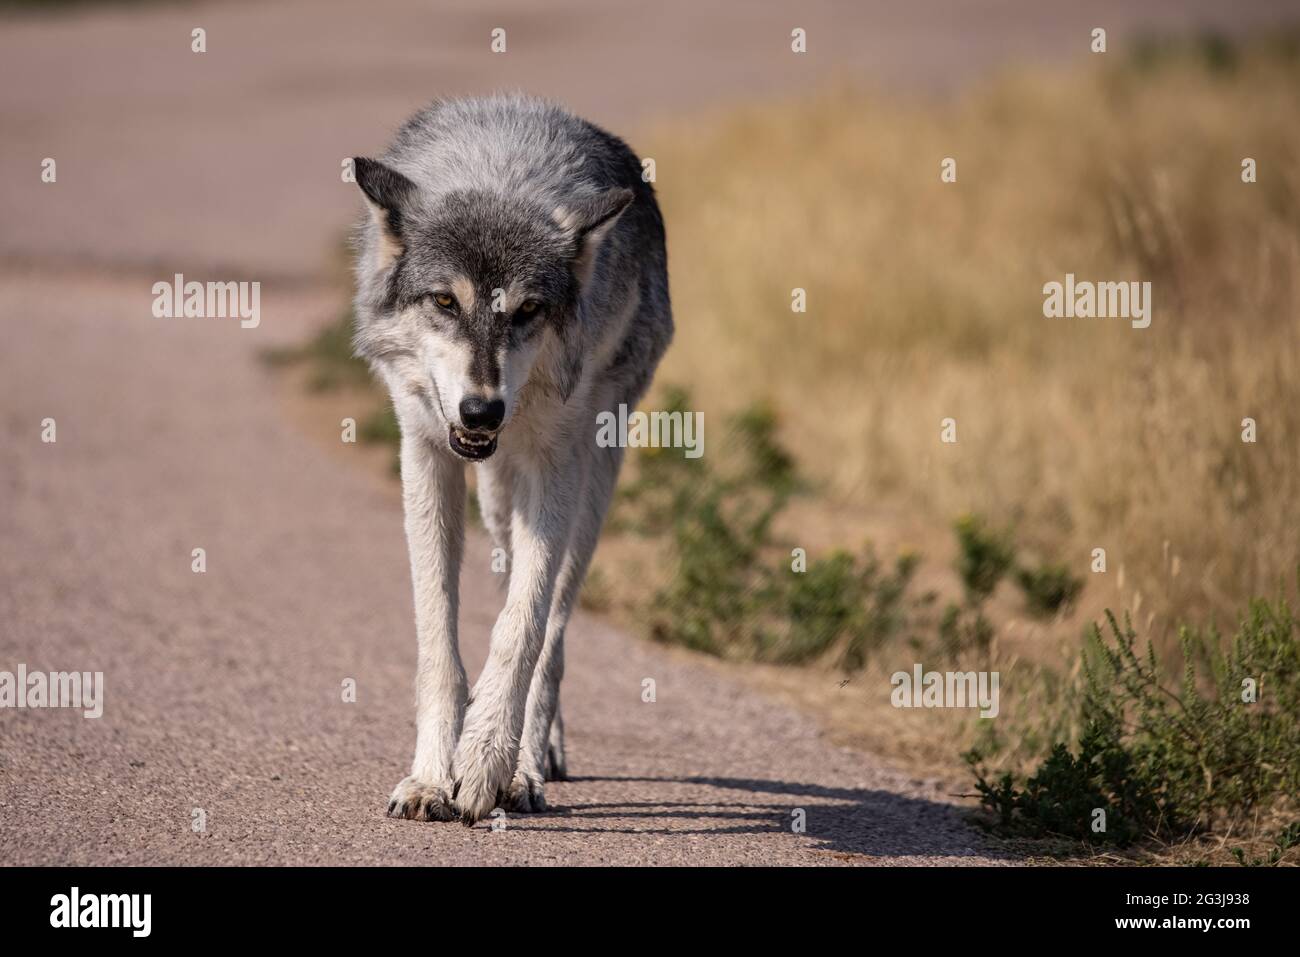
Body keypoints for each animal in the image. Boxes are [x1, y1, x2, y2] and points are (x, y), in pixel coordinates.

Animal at [351, 95, 672, 825]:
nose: (481, 411)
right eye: (445, 301)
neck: (498, 170)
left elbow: (520, 629)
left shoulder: (555, 465)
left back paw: (529, 765)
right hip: (498, 499)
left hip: (591, 480)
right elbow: (438, 639)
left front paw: (486, 762)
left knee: (551, 630)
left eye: (527, 310)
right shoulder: (425, 452)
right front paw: (430, 777)